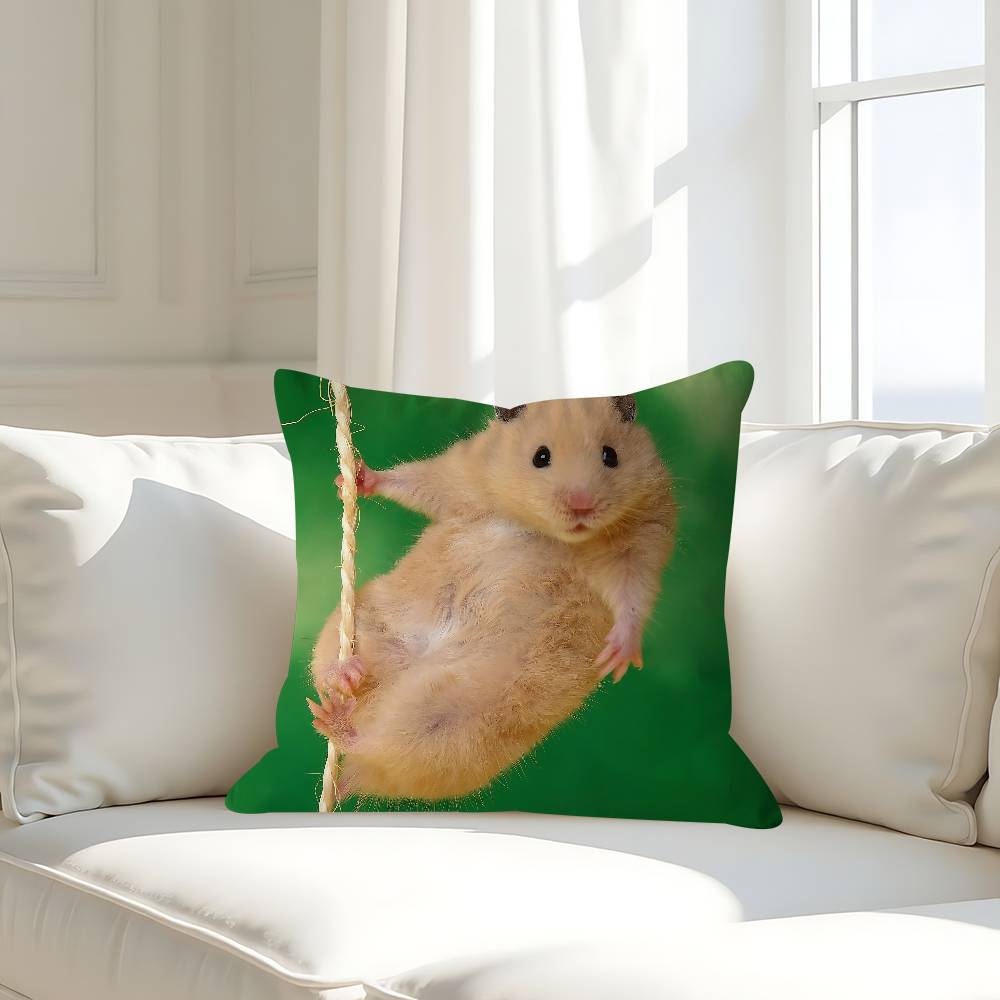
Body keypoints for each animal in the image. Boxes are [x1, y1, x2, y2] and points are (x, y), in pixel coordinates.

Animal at [308, 394, 676, 804]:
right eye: (541, 457)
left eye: (611, 456)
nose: (582, 506)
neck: (547, 531)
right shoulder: (462, 476)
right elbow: (419, 483)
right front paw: (354, 478)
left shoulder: (644, 539)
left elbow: (632, 594)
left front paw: (618, 657)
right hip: (363, 619)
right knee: (333, 670)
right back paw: (346, 677)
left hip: (452, 729)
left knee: (380, 747)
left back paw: (339, 721)